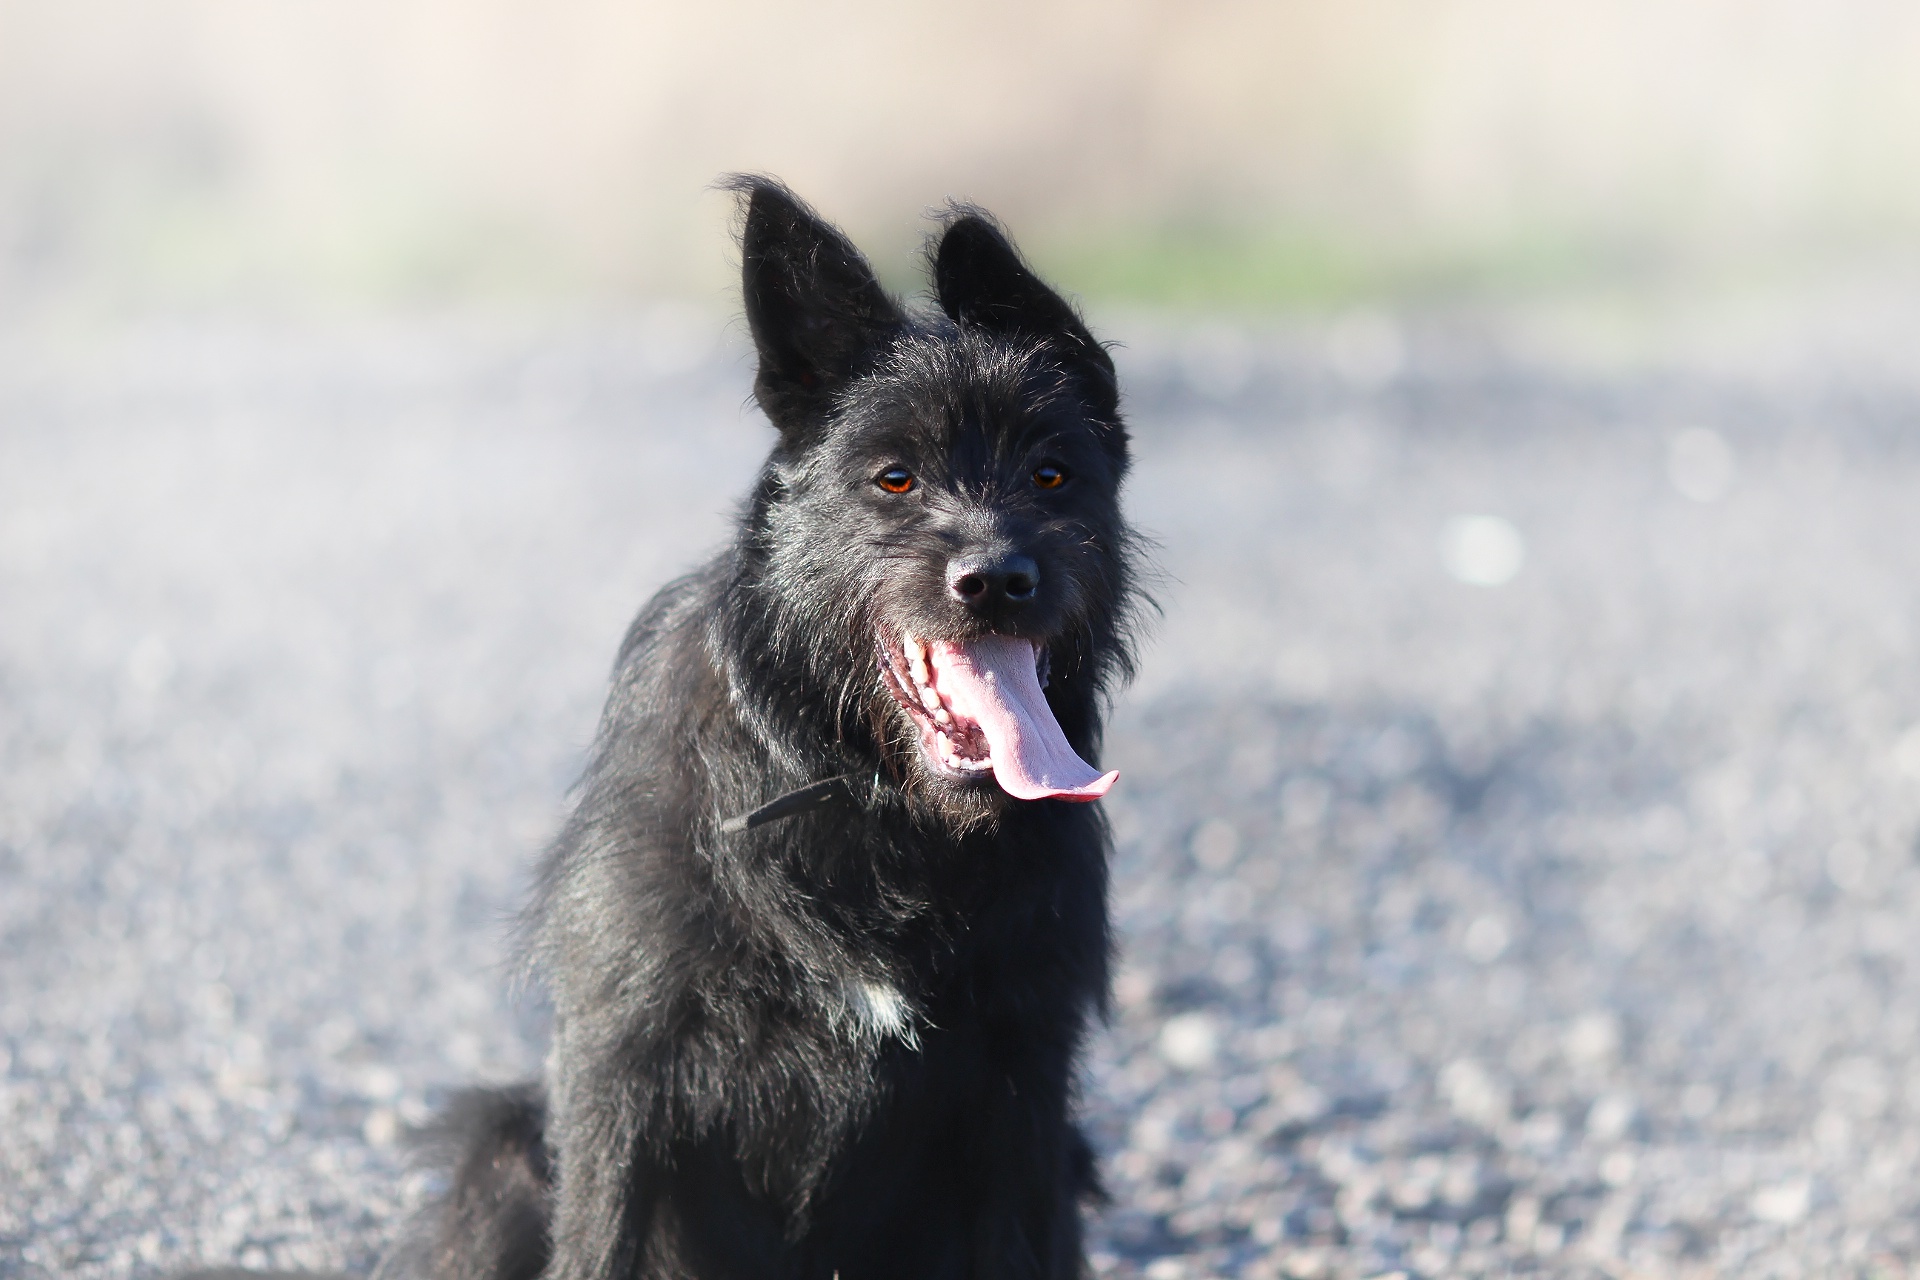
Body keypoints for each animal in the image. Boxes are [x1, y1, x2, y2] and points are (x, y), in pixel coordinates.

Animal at [357, 177, 1136, 1280]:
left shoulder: (1024, 1094)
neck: (869, 800)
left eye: (1053, 475)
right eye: (894, 477)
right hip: (504, 1150)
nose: (997, 577)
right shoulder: (623, 1074)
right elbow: (598, 1239)